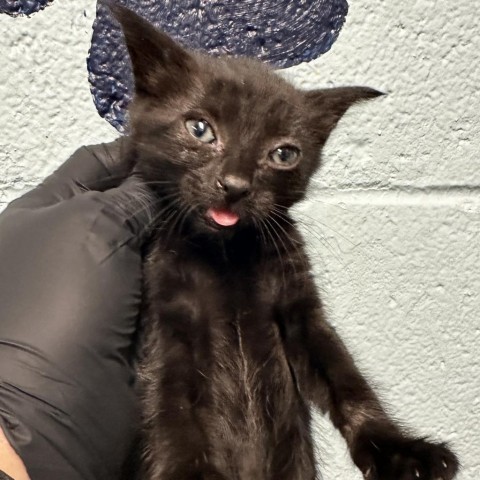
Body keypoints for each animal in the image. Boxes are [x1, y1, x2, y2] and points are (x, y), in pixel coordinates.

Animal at [108, 3, 458, 480]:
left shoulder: (300, 312)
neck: (226, 255)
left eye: (283, 154)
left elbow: (348, 382)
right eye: (199, 129)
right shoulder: (167, 324)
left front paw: (400, 449)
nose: (235, 185)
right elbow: (173, 412)